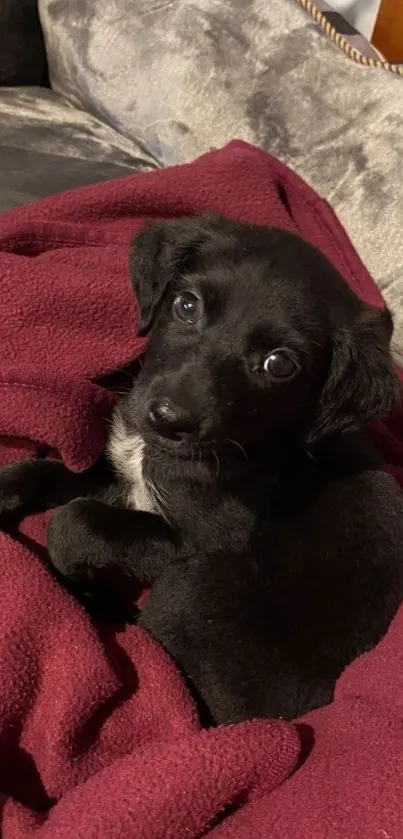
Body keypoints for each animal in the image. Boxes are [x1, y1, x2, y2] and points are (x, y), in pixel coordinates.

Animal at [0, 215, 403, 720]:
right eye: (186, 305)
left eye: (280, 364)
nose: (168, 419)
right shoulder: (119, 472)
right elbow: (53, 473)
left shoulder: (196, 544)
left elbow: (77, 518)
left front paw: (72, 567)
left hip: (195, 591)